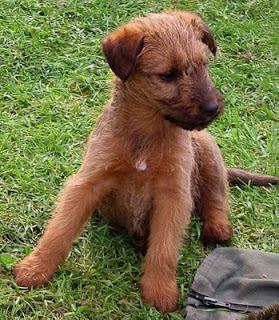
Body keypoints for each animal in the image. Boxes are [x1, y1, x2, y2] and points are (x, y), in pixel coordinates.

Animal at [13, 10, 279, 312]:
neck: (147, 132)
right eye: (168, 75)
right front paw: (35, 267)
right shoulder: (88, 183)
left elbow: (164, 249)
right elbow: (59, 231)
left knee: (215, 197)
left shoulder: (172, 194)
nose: (213, 108)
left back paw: (217, 227)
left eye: (203, 65)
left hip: (207, 148)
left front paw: (159, 290)